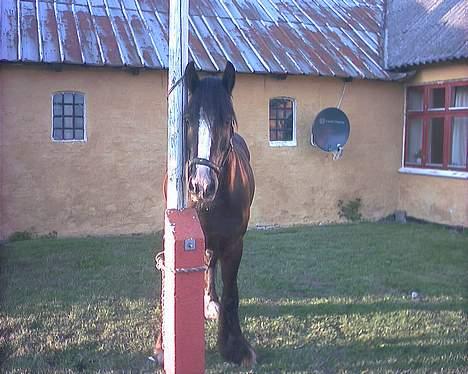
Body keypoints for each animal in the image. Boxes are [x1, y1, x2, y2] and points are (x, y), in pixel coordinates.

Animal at [154, 61, 256, 368]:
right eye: (187, 119)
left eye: (228, 121)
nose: (201, 185)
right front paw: (163, 345)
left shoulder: (234, 243)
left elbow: (232, 292)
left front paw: (234, 347)